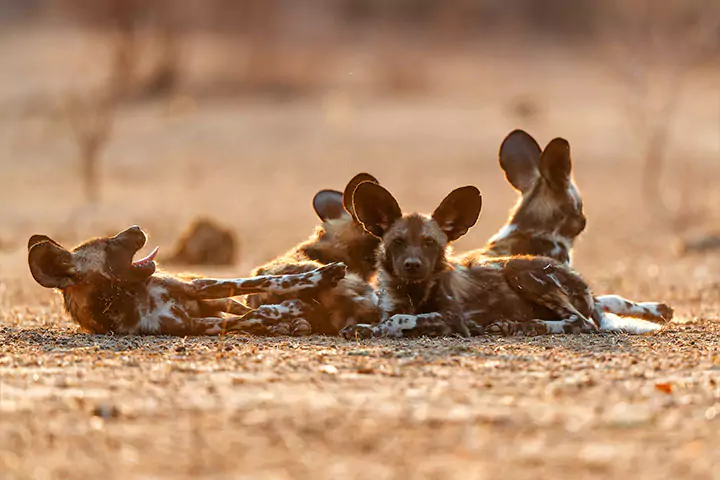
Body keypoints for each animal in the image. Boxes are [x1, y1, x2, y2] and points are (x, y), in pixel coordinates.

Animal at [26, 227, 344, 336]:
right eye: (109, 244)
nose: (137, 227)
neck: (129, 297)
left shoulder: (197, 287)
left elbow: (268, 282)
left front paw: (318, 278)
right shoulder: (194, 325)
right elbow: (256, 315)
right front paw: (289, 310)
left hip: (216, 297)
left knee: (241, 305)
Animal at [338, 182, 668, 340]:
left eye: (430, 243)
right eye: (398, 242)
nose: (412, 265)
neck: (413, 291)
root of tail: (587, 289)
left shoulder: (453, 320)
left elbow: (401, 320)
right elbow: (388, 319)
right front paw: (365, 330)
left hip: (517, 267)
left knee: (581, 322)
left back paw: (531, 326)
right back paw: (510, 325)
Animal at [464, 129, 672, 322]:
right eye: (580, 206)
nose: (584, 220)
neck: (535, 230)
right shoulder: (585, 295)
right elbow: (617, 299)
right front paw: (655, 309)